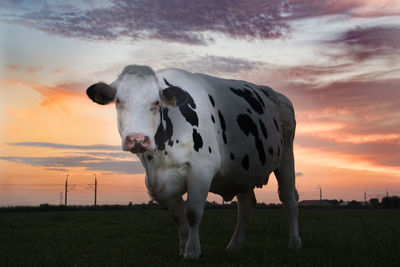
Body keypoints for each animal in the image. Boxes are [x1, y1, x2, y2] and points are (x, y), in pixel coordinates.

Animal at [86, 65, 300, 260]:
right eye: (118, 101)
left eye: (156, 102)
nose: (137, 139)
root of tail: (279, 95)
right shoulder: (162, 180)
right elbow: (178, 216)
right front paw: (183, 248)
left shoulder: (201, 170)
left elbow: (192, 213)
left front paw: (192, 251)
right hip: (242, 169)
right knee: (247, 205)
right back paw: (234, 246)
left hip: (286, 156)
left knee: (288, 197)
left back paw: (294, 243)